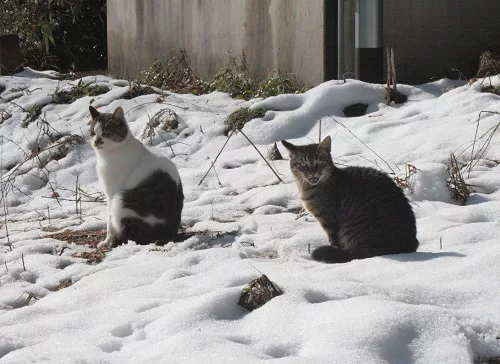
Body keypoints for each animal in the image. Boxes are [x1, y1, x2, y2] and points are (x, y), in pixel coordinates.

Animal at [90, 104, 184, 247]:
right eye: (93, 133)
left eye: (106, 132)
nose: (96, 141)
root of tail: (168, 234)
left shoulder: (111, 193)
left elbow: (109, 224)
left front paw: (107, 241)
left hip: (121, 200)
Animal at [282, 135, 418, 264]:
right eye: (303, 165)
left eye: (319, 163)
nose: (313, 173)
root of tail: (408, 243)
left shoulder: (329, 222)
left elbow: (334, 241)